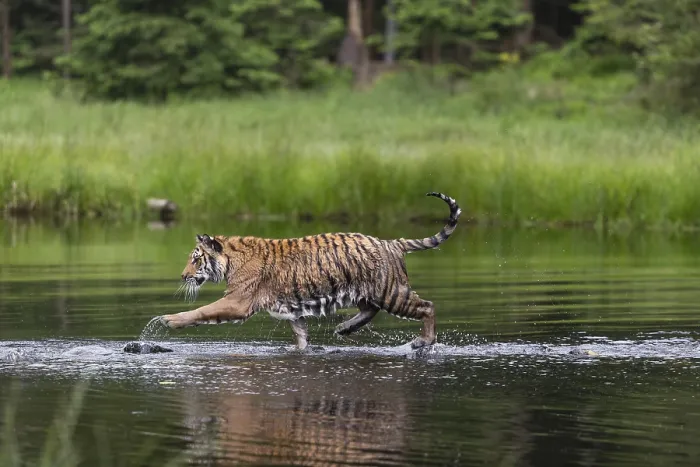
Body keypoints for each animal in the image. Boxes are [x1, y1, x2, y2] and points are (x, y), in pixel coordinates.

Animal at [158, 192, 461, 350]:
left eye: (196, 259)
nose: (183, 276)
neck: (231, 258)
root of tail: (392, 242)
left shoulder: (238, 301)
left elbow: (203, 311)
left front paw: (169, 319)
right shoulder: (292, 311)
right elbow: (301, 336)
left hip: (391, 291)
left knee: (427, 306)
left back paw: (423, 341)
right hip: (368, 291)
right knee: (370, 309)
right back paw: (344, 328)